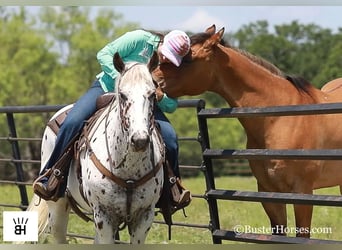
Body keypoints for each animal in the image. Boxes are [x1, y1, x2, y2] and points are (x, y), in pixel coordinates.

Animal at [25, 51, 164, 243]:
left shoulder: (144, 216)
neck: (128, 169)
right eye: (122, 95)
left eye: (151, 94)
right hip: (57, 207)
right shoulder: (103, 215)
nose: (140, 140)